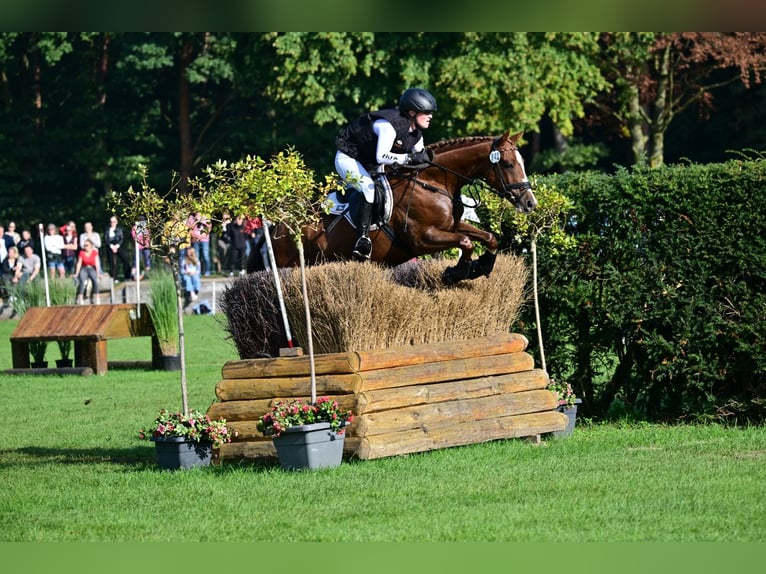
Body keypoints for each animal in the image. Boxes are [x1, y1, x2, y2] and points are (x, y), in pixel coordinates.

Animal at [249, 129, 536, 284]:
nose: (530, 202)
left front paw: (482, 267)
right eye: (508, 164)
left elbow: (489, 237)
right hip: (290, 263)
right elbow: (466, 242)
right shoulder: (422, 239)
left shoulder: (452, 226)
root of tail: (277, 227)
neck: (433, 182)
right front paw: (458, 272)